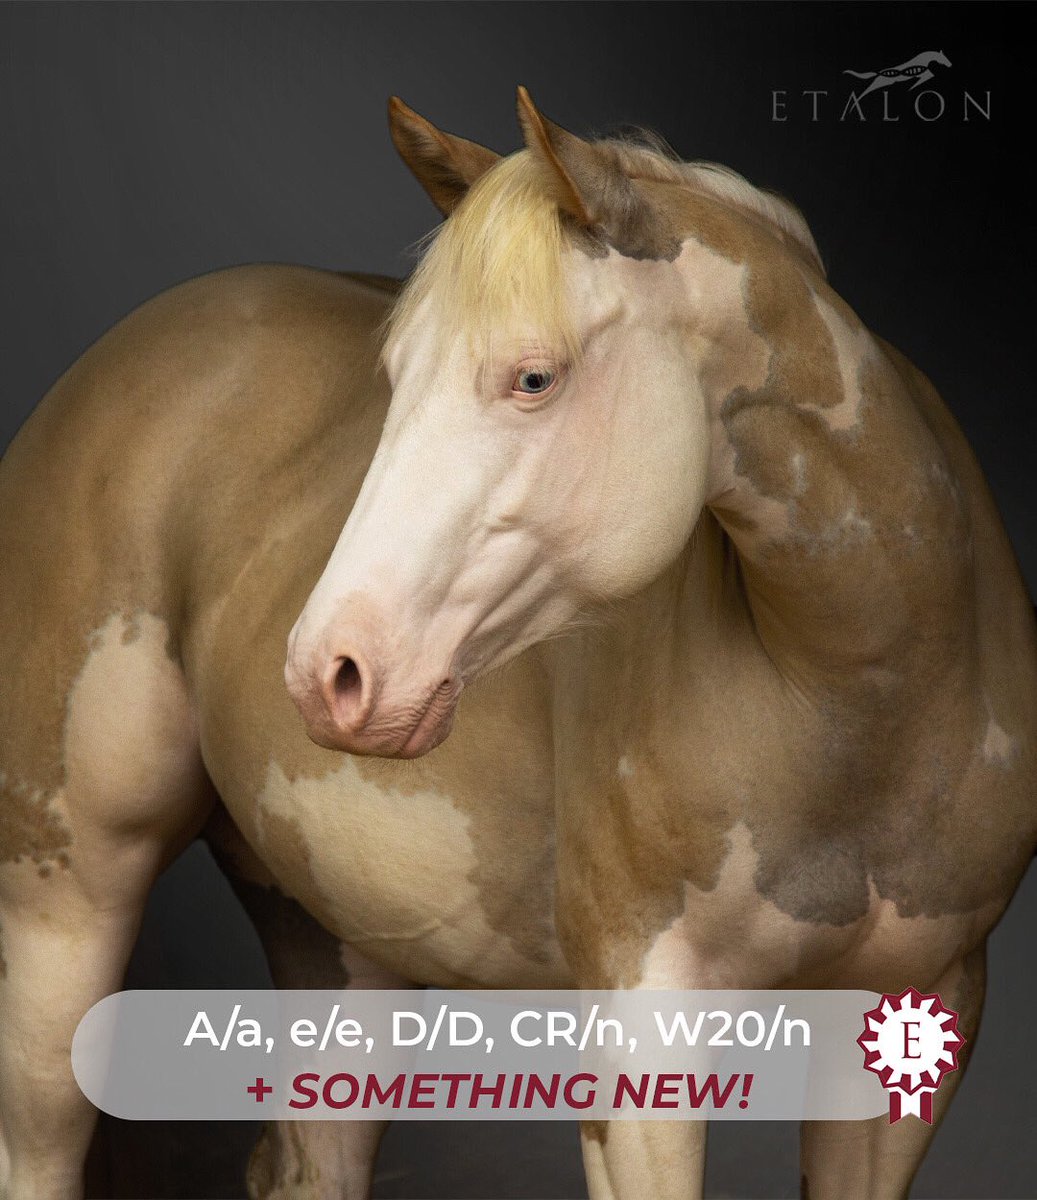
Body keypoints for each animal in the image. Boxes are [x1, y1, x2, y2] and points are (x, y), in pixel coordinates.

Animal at [1, 86, 1034, 1200]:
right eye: (393, 374)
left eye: (533, 378)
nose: (327, 675)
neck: (861, 687)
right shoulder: (642, 1024)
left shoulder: (919, 1015)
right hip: (68, 908)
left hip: (335, 937)